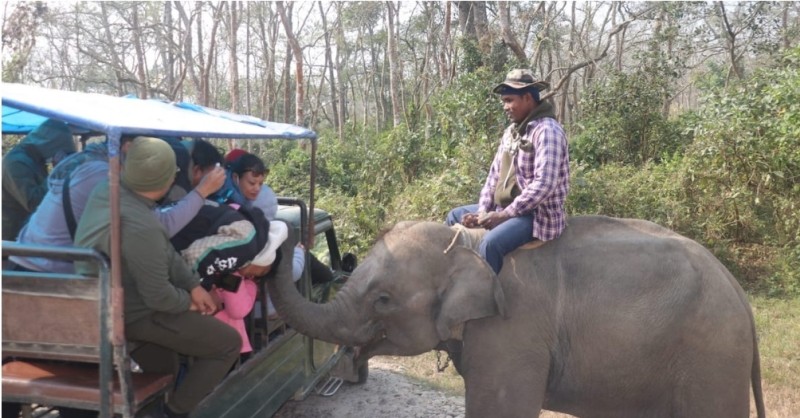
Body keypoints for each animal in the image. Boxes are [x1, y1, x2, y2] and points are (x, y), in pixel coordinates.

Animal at [266, 216, 764, 418]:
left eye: (383, 299)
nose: (285, 233)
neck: (466, 244)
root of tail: (741, 298)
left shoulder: (512, 332)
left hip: (711, 360)